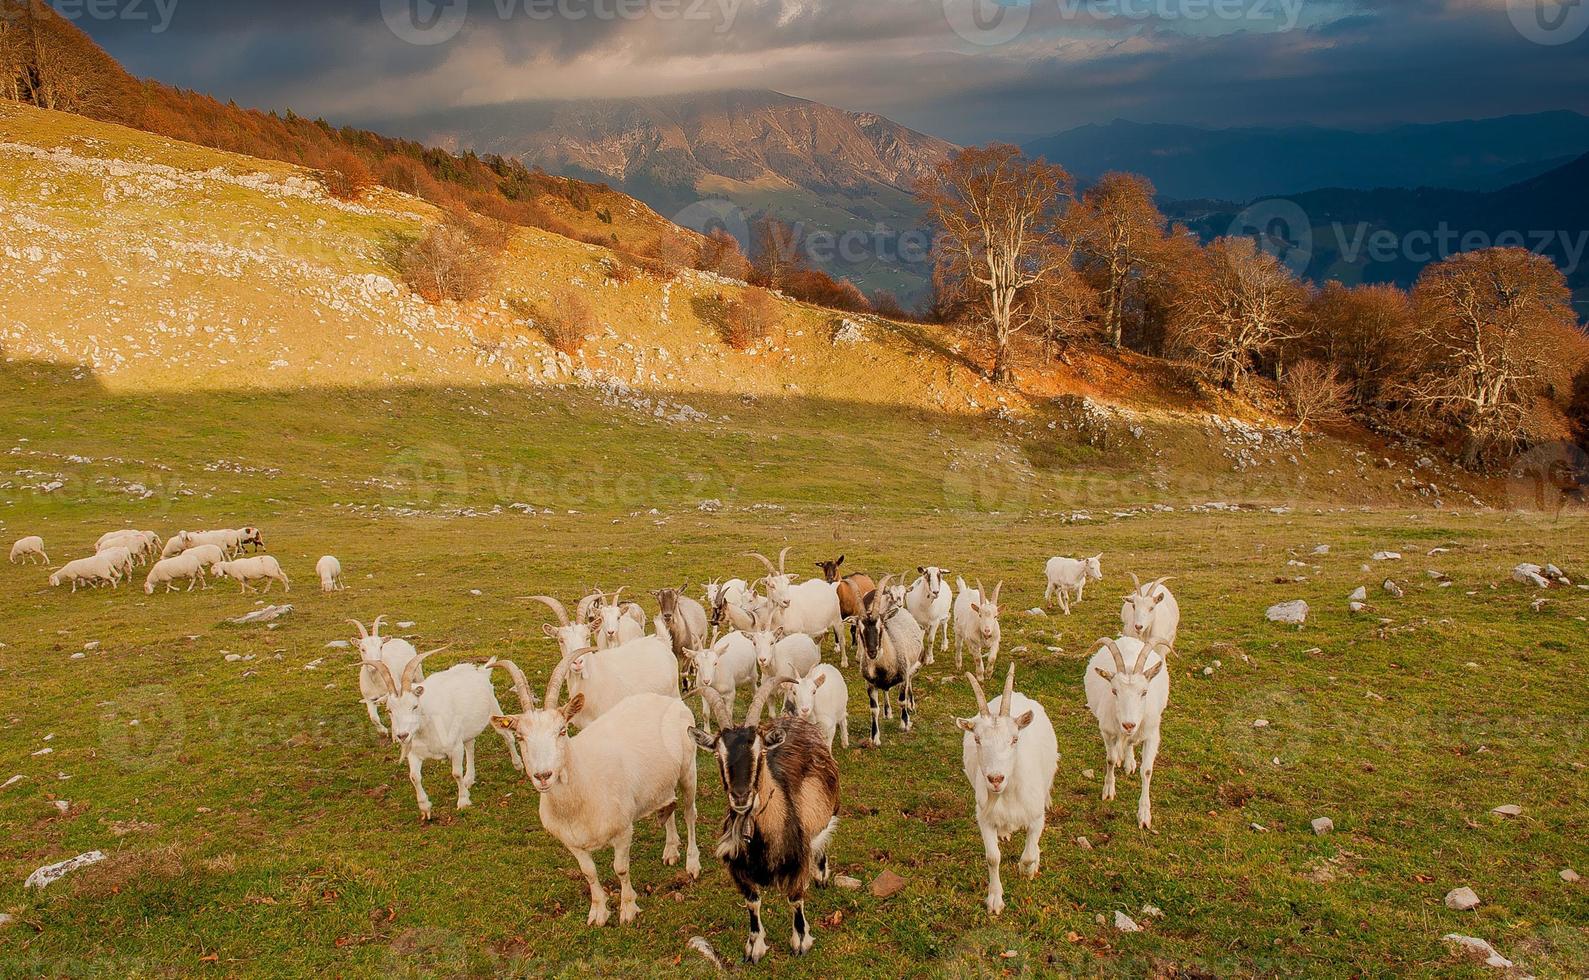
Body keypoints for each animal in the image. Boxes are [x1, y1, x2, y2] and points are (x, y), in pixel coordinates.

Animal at [365, 654, 527, 819]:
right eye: (389, 710)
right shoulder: (414, 752)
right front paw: (425, 808)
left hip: (493, 710)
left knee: (507, 737)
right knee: (470, 746)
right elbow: (414, 777)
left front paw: (463, 801)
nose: (402, 735)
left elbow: (456, 774)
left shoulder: (455, 747)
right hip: (467, 729)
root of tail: (481, 671)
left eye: (414, 706)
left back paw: (518, 765)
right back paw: (469, 778)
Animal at [489, 657, 702, 927]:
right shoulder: (572, 842)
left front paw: (628, 909)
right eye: (520, 737)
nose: (543, 775)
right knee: (668, 805)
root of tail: (670, 701)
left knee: (689, 813)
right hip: (661, 781)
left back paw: (692, 863)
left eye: (562, 730)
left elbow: (620, 868)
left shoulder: (622, 830)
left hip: (688, 770)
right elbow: (588, 873)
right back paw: (671, 849)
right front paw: (598, 912)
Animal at [695, 676, 845, 959]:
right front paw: (754, 946)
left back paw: (821, 875)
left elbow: (795, 899)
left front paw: (801, 942)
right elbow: (753, 903)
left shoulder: (797, 861)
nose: (741, 796)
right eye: (718, 754)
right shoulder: (739, 871)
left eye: (761, 751)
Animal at [953, 663, 1055, 914]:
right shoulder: (984, 817)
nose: (995, 778)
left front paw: (1028, 869)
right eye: (977, 739)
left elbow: (1029, 853)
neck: (1008, 794)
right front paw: (994, 899)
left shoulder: (1036, 815)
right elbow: (993, 857)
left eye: (1015, 739)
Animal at [1086, 635, 1175, 825]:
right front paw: (1108, 790)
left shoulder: (1152, 735)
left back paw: (1129, 761)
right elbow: (1110, 760)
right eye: (1114, 691)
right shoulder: (1107, 731)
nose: (1129, 725)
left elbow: (1147, 770)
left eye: (1144, 692)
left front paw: (1144, 815)